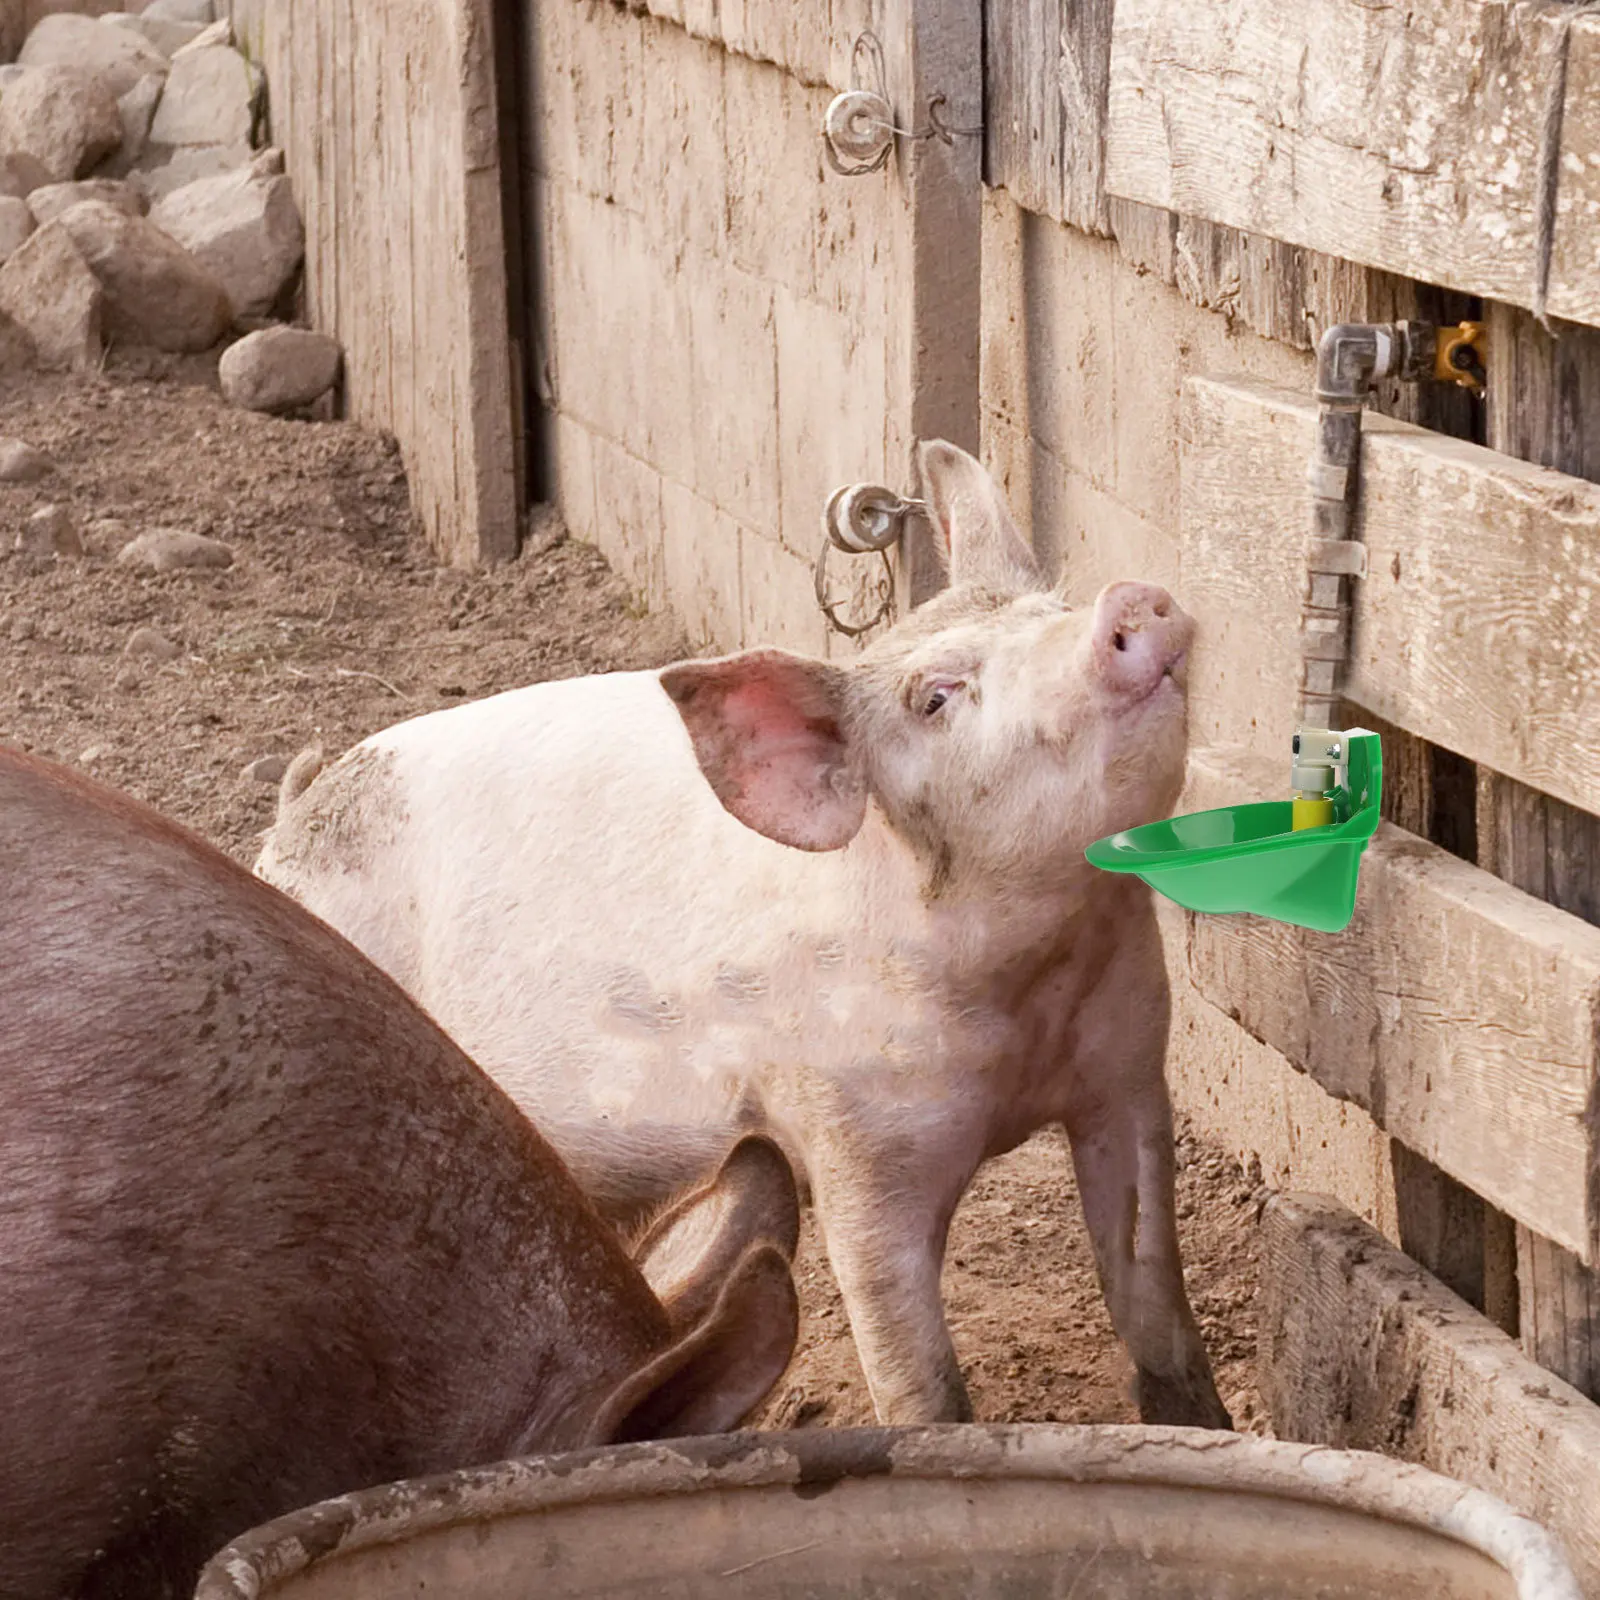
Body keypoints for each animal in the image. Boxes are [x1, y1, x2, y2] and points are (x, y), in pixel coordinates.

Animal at [256, 439, 1231, 1432]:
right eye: (935, 699)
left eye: (1055, 609)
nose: (1128, 602)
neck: (1033, 982)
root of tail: (294, 814)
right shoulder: (852, 1141)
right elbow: (913, 1370)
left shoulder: (1126, 1066)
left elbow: (1153, 1294)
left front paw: (1202, 1427)